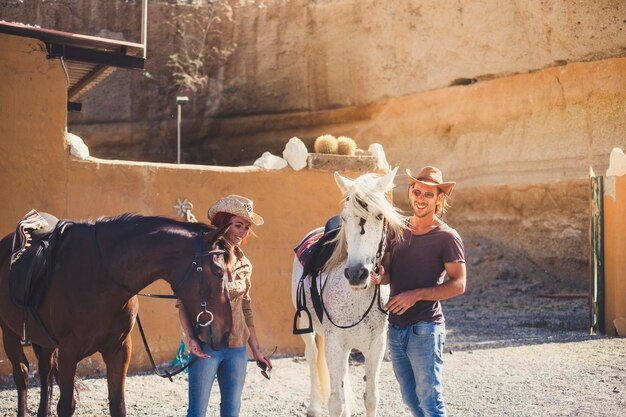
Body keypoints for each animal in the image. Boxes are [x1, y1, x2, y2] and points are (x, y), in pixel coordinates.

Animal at [0, 213, 233, 414]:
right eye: (218, 271)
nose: (226, 332)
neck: (101, 276)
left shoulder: (119, 350)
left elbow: (117, 405)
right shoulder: (68, 352)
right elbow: (66, 406)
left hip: (44, 342)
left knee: (45, 373)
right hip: (9, 333)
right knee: (22, 376)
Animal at [292, 167, 404, 414]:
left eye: (380, 216)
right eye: (344, 218)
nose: (356, 273)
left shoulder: (376, 346)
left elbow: (371, 397)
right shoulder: (335, 345)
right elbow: (334, 401)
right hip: (308, 327)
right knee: (312, 357)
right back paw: (313, 407)